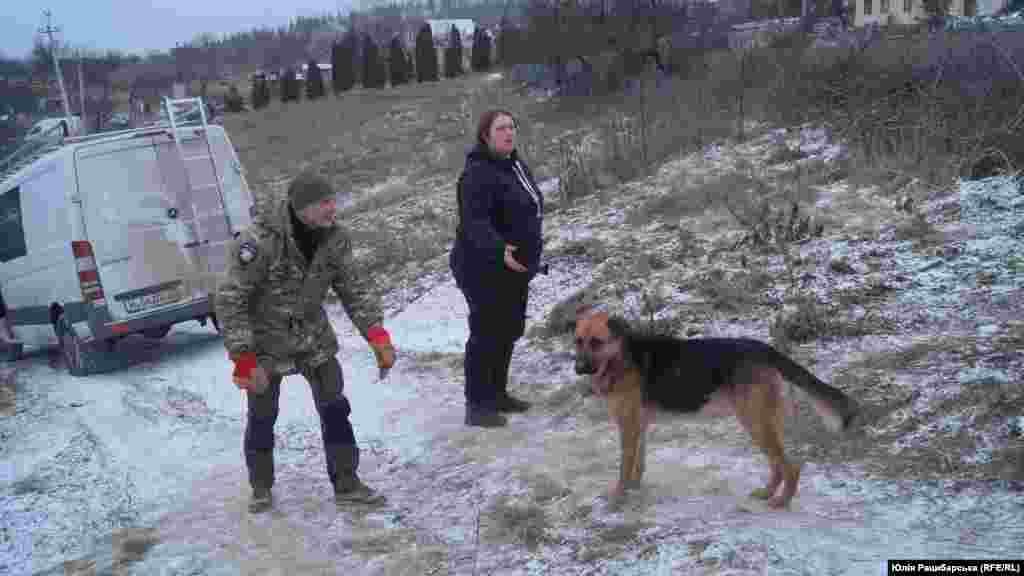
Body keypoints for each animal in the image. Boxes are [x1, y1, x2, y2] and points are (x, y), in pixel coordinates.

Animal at [573, 305, 860, 506]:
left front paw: (618, 496)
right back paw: (767, 493)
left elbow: (624, 467)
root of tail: (765, 349)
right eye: (577, 341)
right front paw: (633, 489)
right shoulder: (638, 425)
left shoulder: (629, 427)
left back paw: (780, 501)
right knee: (778, 465)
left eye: (596, 342)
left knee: (791, 467)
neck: (619, 358)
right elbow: (637, 465)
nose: (577, 368)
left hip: (755, 423)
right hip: (762, 423)